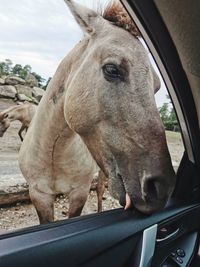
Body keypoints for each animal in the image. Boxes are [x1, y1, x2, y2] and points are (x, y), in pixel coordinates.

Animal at [18, 1, 175, 225]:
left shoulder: (79, 192)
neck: (53, 154)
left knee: (101, 190)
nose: (160, 188)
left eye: (157, 86)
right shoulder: (39, 195)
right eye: (112, 69)